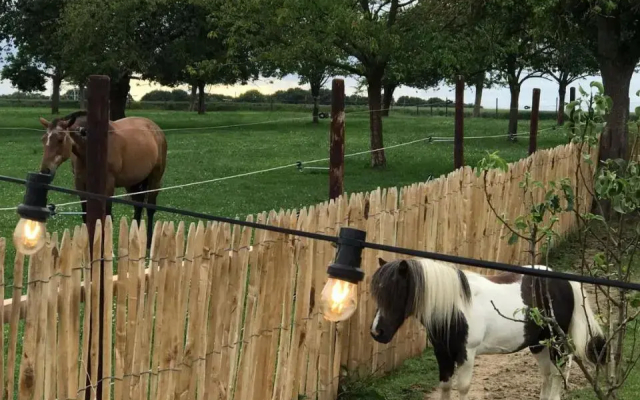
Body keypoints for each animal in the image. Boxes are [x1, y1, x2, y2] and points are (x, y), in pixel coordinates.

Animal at [37, 110, 167, 248]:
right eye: (43, 139)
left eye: (60, 140)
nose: (45, 171)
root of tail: (155, 128)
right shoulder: (80, 184)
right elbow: (87, 216)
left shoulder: (108, 185)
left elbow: (107, 216)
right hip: (133, 183)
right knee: (138, 206)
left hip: (155, 178)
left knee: (150, 208)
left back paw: (148, 242)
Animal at [370, 257, 607, 400]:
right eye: (377, 295)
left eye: (396, 293)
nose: (377, 332)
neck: (455, 306)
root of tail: (566, 281)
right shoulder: (442, 354)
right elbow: (445, 387)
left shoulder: (467, 354)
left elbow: (462, 388)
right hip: (538, 344)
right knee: (547, 375)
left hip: (556, 343)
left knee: (557, 374)